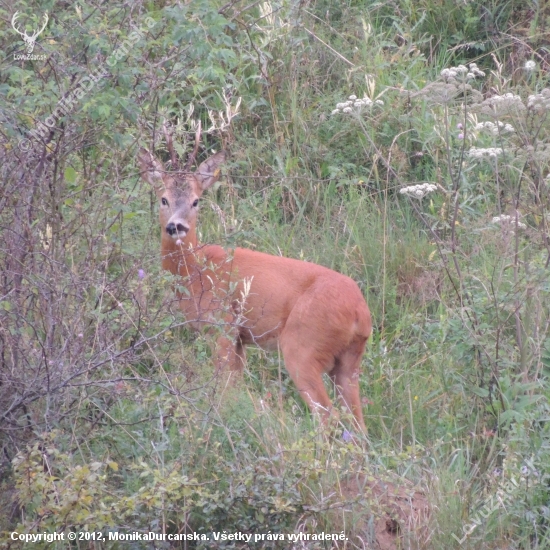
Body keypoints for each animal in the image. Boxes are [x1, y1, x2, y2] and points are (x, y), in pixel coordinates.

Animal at [138, 137, 374, 432]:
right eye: (164, 198)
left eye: (195, 201)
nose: (175, 227)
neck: (196, 269)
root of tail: (360, 313)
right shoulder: (241, 338)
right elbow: (236, 387)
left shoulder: (223, 325)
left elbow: (224, 387)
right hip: (349, 362)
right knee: (358, 426)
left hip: (302, 347)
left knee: (327, 417)